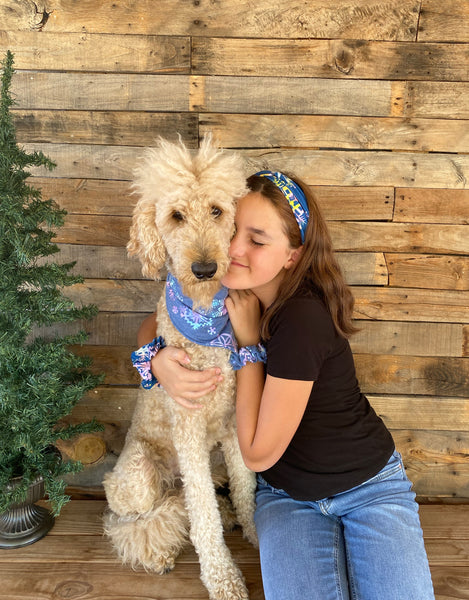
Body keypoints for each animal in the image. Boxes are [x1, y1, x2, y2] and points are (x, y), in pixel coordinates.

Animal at [103, 137, 258, 600]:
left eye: (217, 211)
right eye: (175, 216)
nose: (204, 269)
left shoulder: (232, 421)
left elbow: (246, 484)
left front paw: (256, 529)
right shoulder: (188, 428)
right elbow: (201, 514)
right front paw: (223, 577)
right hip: (136, 477)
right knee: (135, 519)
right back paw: (159, 546)